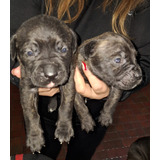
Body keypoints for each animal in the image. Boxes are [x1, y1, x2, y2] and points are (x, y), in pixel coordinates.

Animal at [10, 15, 77, 152]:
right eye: (30, 53)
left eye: (64, 49)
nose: (50, 74)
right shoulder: (27, 89)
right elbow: (31, 114)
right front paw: (35, 138)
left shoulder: (68, 82)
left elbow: (66, 105)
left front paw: (64, 129)